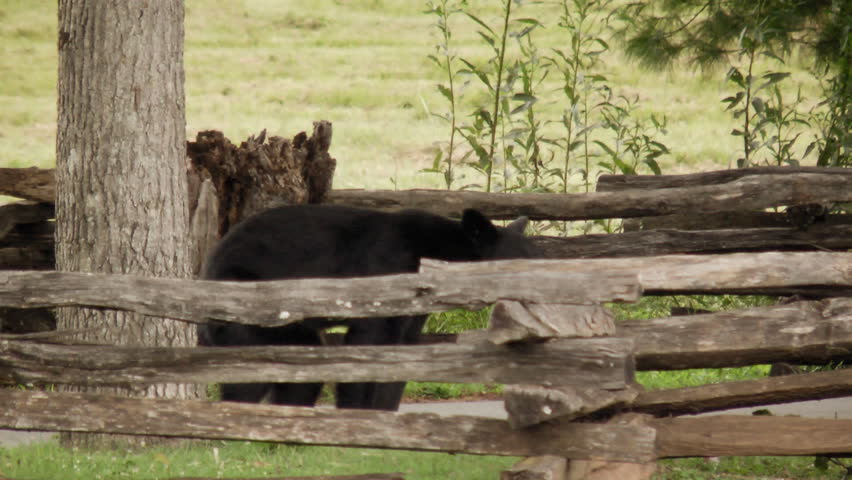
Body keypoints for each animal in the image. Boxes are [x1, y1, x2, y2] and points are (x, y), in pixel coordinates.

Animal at [197, 204, 539, 411]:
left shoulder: (414, 309)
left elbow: (401, 354)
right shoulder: (385, 275)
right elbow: (367, 343)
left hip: (288, 332)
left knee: (300, 378)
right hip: (252, 314)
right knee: (246, 381)